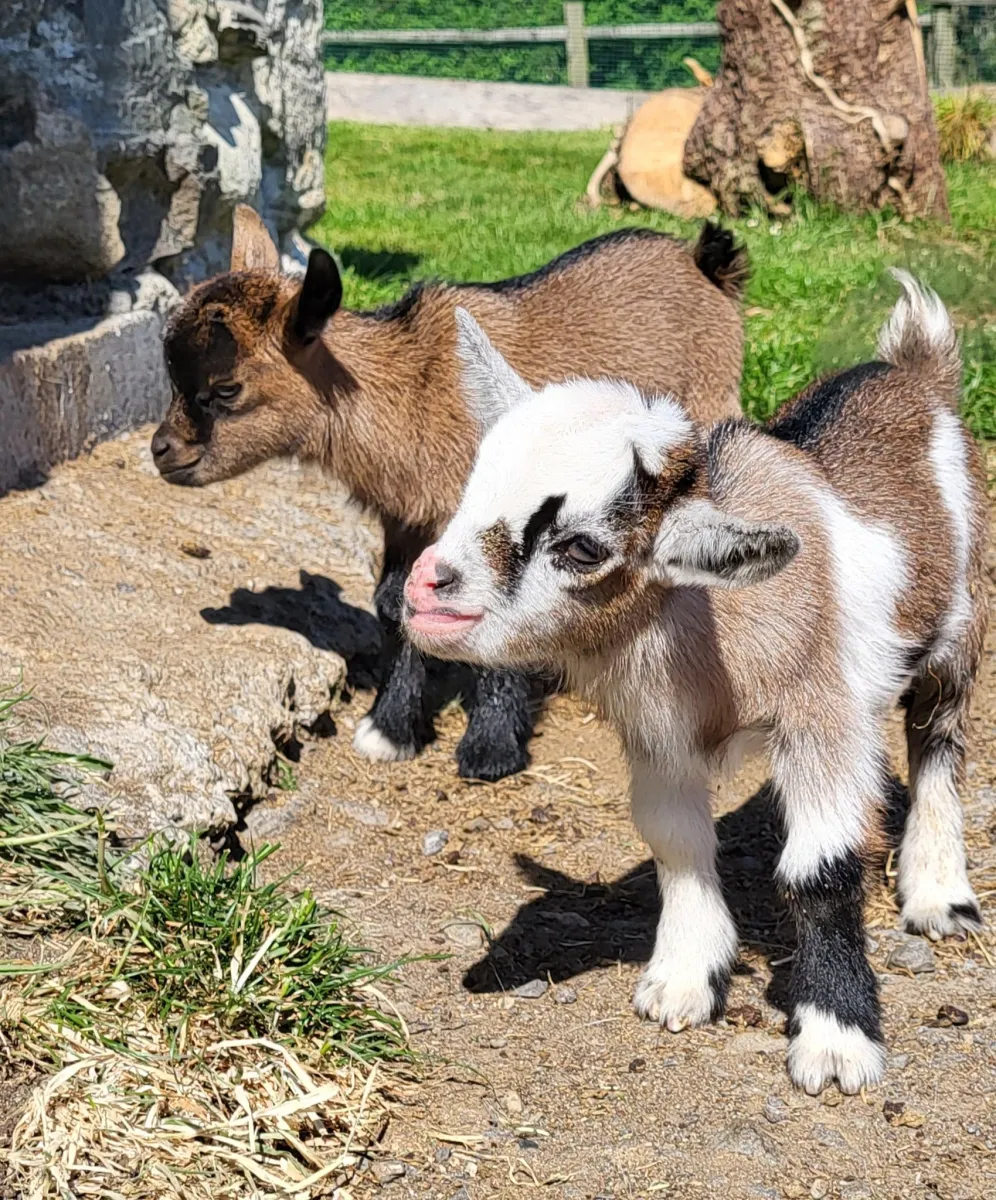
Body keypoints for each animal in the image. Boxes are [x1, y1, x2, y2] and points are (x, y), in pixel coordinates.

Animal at [151, 205, 748, 782]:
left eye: (227, 388)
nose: (162, 451)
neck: (414, 391)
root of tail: (702, 262)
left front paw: (490, 751)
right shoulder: (407, 521)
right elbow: (393, 600)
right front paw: (389, 729)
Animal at [402, 273, 988, 1094]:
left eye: (582, 547)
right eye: (472, 490)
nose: (427, 589)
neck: (708, 625)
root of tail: (916, 368)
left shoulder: (823, 718)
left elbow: (822, 867)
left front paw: (837, 1040)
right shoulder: (658, 732)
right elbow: (674, 838)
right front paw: (683, 979)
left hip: (960, 626)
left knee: (939, 740)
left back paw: (938, 895)